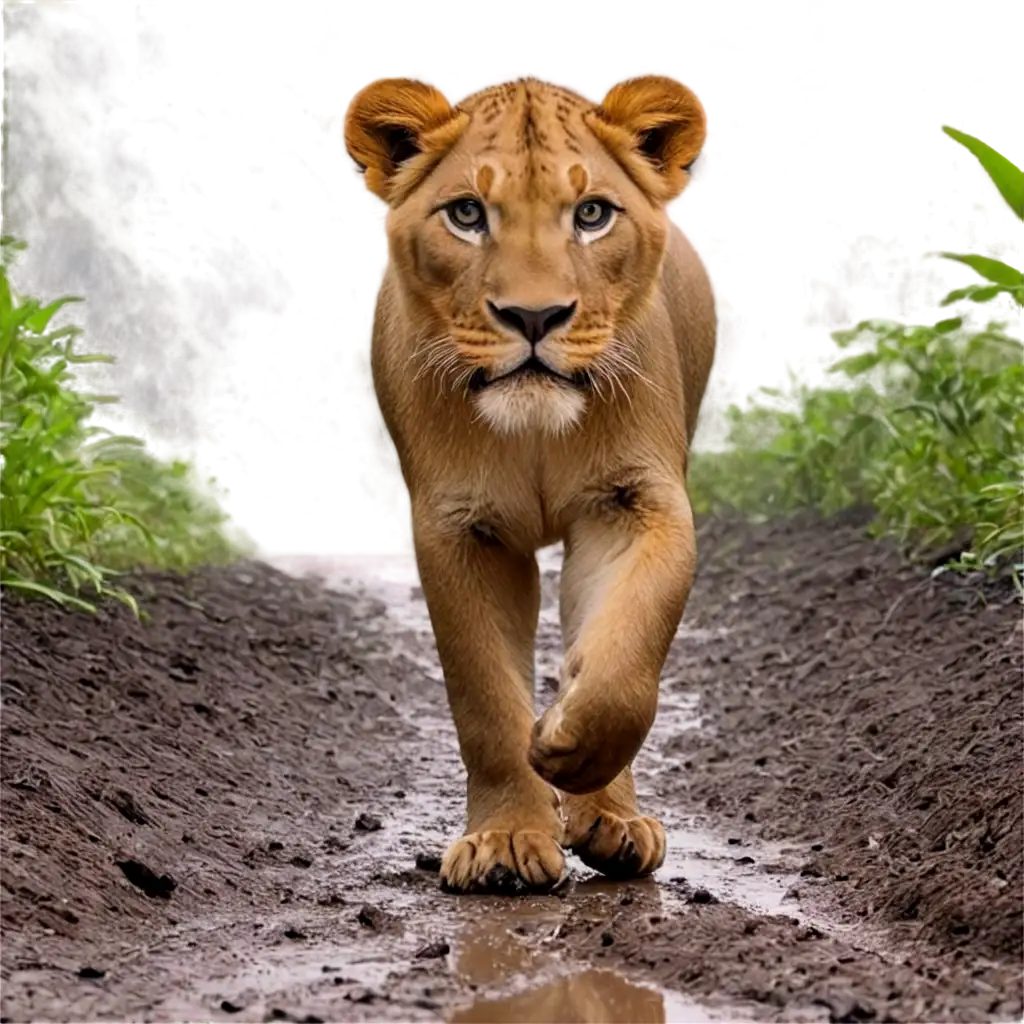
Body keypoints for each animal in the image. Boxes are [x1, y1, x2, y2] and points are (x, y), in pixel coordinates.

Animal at [339, 70, 716, 897]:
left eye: (592, 215)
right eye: (467, 214)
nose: (535, 316)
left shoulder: (633, 502)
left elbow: (626, 659)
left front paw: (566, 745)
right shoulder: (459, 527)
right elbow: (482, 694)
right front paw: (507, 842)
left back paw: (612, 821)